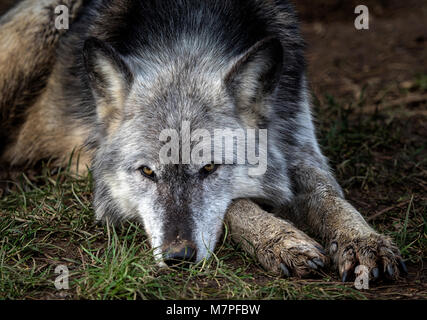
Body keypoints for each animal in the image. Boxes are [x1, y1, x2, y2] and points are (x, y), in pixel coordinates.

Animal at [0, 0, 408, 280]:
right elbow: (237, 204)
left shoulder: (297, 142)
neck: (190, 26)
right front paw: (282, 239)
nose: (178, 258)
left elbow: (330, 198)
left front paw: (363, 241)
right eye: (147, 172)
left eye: (210, 168)